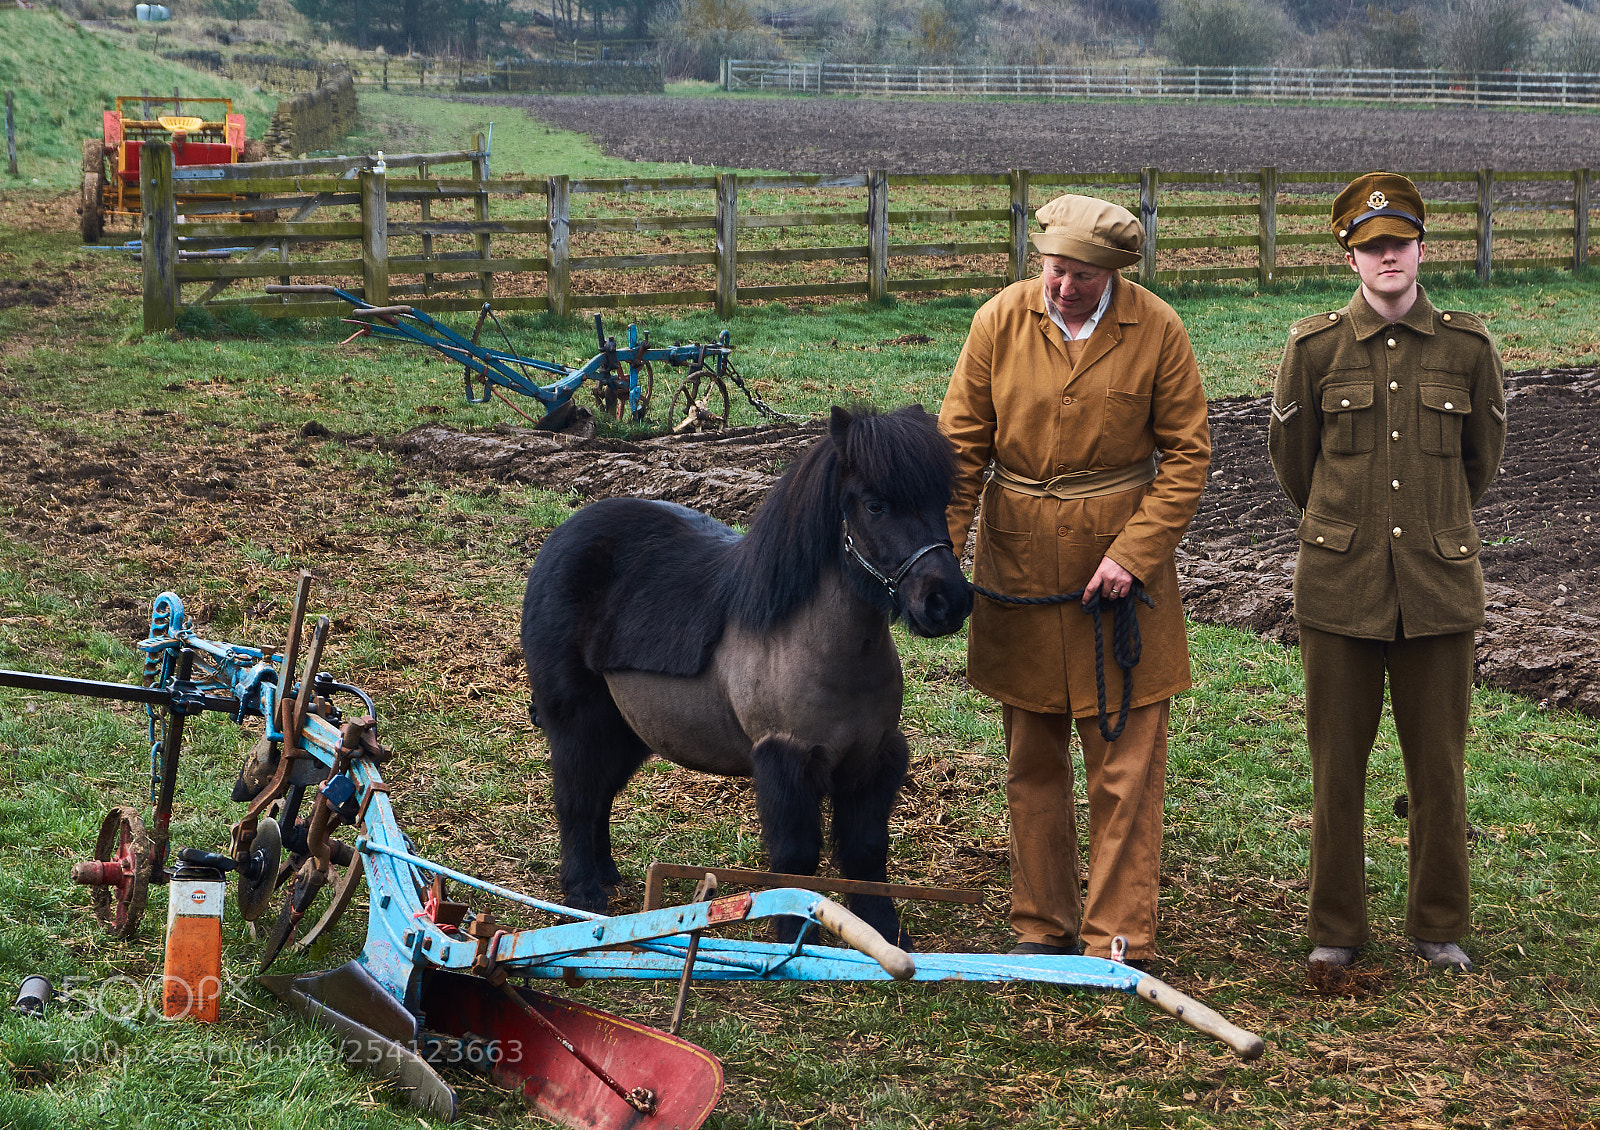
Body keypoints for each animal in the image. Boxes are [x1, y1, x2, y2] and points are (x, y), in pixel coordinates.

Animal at [520, 404, 973, 945]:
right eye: (875, 505)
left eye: (942, 500)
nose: (946, 602)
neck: (816, 647)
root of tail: (562, 538)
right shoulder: (786, 759)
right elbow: (795, 860)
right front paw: (794, 935)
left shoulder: (873, 759)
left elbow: (866, 853)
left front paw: (882, 934)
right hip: (576, 721)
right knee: (575, 797)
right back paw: (584, 893)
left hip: (624, 727)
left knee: (599, 794)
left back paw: (607, 877)